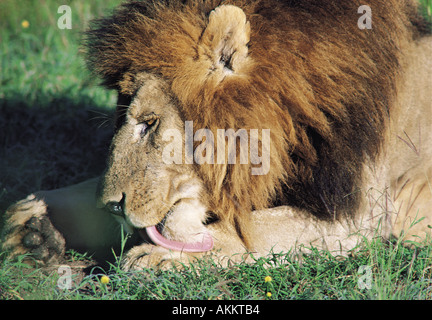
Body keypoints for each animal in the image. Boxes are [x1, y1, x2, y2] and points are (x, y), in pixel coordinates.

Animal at [0, 0, 432, 270]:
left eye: (149, 123)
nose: (111, 206)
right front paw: (31, 225)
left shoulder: (360, 214)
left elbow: (249, 229)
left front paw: (166, 256)